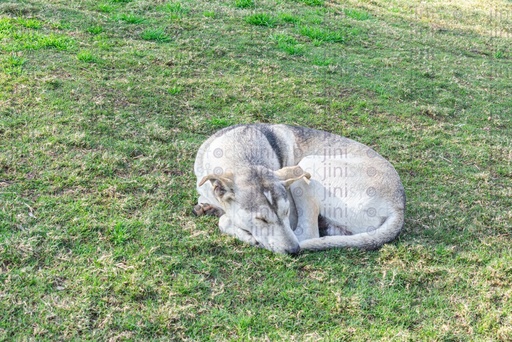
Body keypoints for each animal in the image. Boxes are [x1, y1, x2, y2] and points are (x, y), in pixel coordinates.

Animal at [192, 124, 404, 252]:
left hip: (308, 166)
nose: (294, 251)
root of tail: (399, 207)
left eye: (286, 212)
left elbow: (225, 220)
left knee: (307, 233)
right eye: (261, 219)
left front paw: (244, 233)